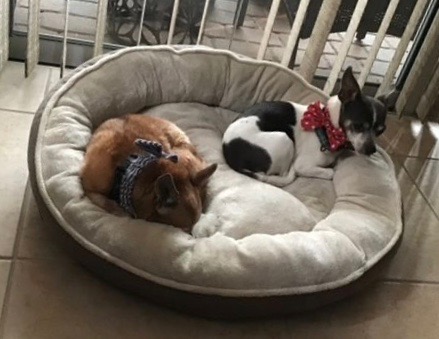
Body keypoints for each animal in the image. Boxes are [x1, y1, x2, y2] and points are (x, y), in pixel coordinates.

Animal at [223, 67, 388, 187]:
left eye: (380, 131)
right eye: (358, 126)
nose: (371, 149)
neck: (328, 126)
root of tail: (229, 154)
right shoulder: (303, 165)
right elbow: (330, 172)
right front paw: (329, 170)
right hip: (284, 139)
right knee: (283, 175)